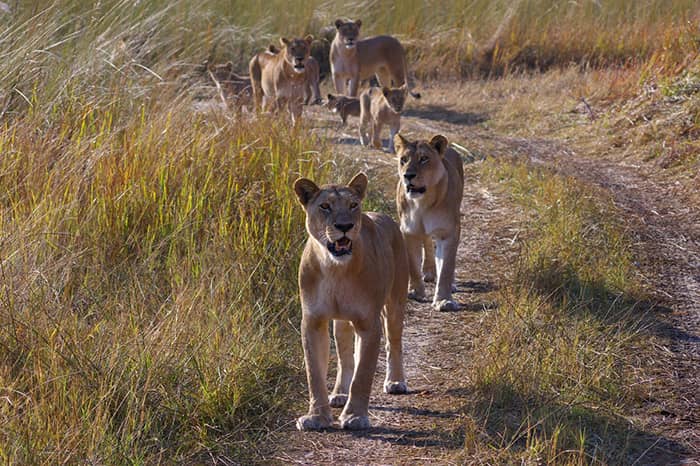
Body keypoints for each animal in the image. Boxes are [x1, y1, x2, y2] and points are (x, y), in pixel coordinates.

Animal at [293, 173, 409, 431]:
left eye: (353, 205)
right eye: (325, 206)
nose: (345, 226)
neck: (335, 269)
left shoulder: (369, 324)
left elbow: (363, 373)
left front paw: (355, 416)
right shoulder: (313, 322)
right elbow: (314, 373)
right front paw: (317, 417)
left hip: (395, 303)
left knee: (394, 342)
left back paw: (396, 381)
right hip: (341, 321)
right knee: (345, 356)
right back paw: (339, 394)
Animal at [394, 134, 464, 311]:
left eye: (424, 159)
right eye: (403, 159)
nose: (408, 176)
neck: (422, 203)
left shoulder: (448, 232)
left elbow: (446, 267)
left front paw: (444, 300)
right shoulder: (409, 231)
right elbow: (413, 264)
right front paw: (415, 292)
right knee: (426, 240)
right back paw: (429, 271)